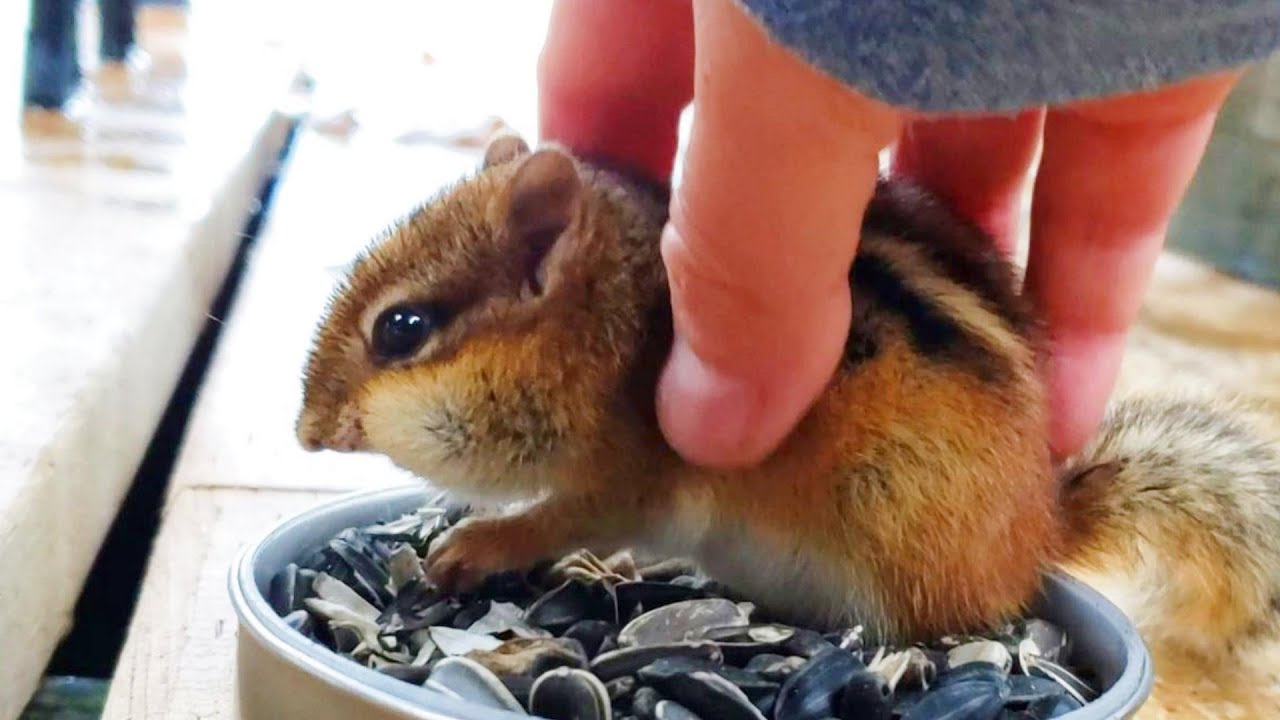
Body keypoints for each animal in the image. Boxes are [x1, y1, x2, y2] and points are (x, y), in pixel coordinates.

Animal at [296, 133, 1280, 715]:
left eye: (401, 328)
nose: (305, 431)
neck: (605, 332)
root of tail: (1039, 530)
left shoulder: (631, 471)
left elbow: (566, 517)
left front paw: (473, 545)